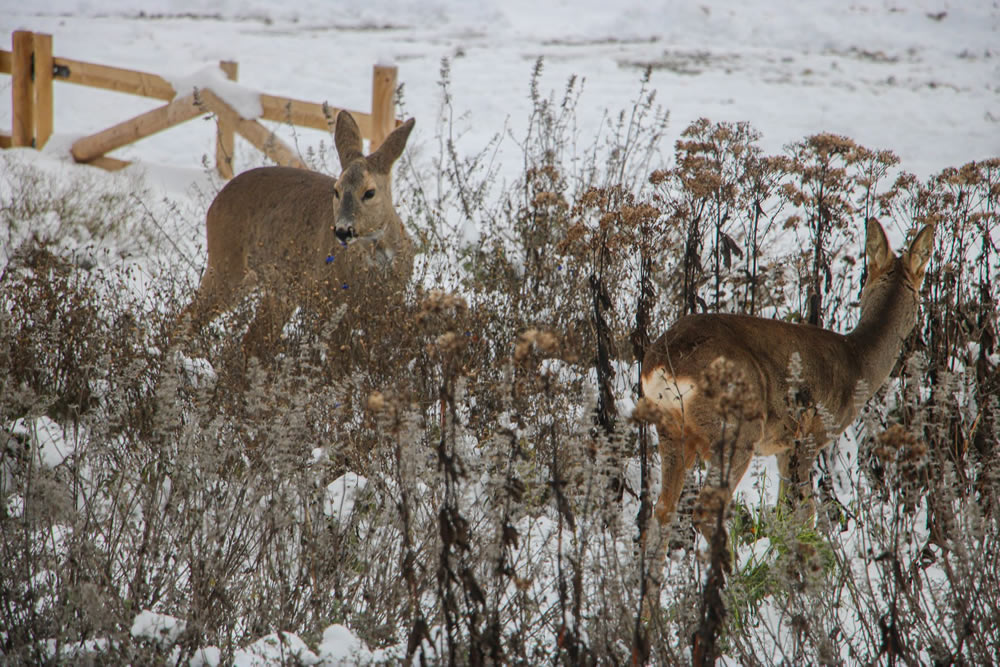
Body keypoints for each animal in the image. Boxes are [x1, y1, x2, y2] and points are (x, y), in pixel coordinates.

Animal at [186, 111, 416, 360]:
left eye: (370, 192)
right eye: (336, 190)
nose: (343, 230)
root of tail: (215, 202)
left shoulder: (388, 305)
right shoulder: (332, 306)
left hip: (276, 289)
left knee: (251, 339)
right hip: (225, 264)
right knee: (187, 317)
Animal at [640, 220, 936, 576]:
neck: (858, 363)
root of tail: (663, 363)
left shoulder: (783, 446)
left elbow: (783, 511)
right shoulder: (808, 437)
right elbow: (803, 512)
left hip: (672, 430)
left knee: (662, 512)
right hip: (736, 430)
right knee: (704, 509)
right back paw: (733, 580)